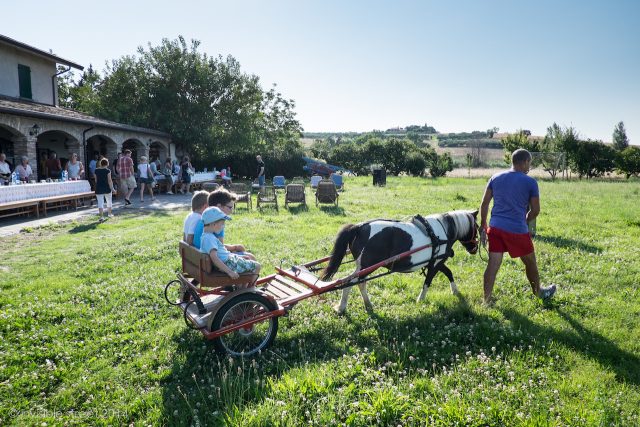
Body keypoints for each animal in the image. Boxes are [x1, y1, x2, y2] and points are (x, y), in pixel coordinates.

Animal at [322, 211, 478, 314]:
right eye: (476, 227)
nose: (474, 249)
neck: (443, 231)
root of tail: (359, 227)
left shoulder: (435, 262)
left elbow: (448, 272)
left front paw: (455, 291)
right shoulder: (435, 264)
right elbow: (428, 281)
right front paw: (420, 299)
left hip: (363, 267)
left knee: (357, 282)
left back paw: (361, 305)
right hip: (367, 267)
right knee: (352, 282)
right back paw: (345, 307)